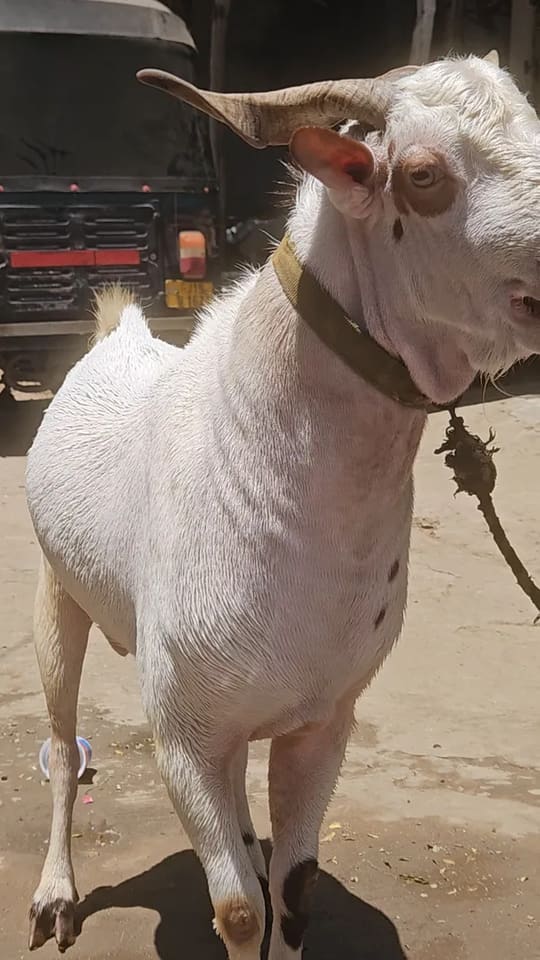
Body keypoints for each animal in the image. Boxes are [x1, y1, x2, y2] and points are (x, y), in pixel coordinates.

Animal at [26, 53, 540, 958]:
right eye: (423, 175)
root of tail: (118, 333)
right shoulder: (181, 736)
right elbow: (237, 911)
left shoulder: (323, 723)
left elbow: (296, 894)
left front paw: (276, 874)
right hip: (56, 592)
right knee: (60, 742)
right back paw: (56, 896)